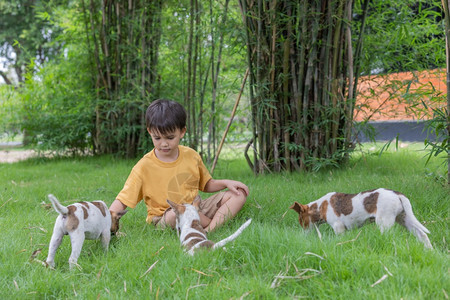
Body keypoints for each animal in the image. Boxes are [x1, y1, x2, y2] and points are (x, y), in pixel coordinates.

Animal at [290, 189, 434, 250]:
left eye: (301, 221)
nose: (303, 236)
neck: (321, 206)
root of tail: (397, 194)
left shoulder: (338, 227)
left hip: (384, 223)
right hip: (405, 219)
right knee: (423, 236)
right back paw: (430, 251)